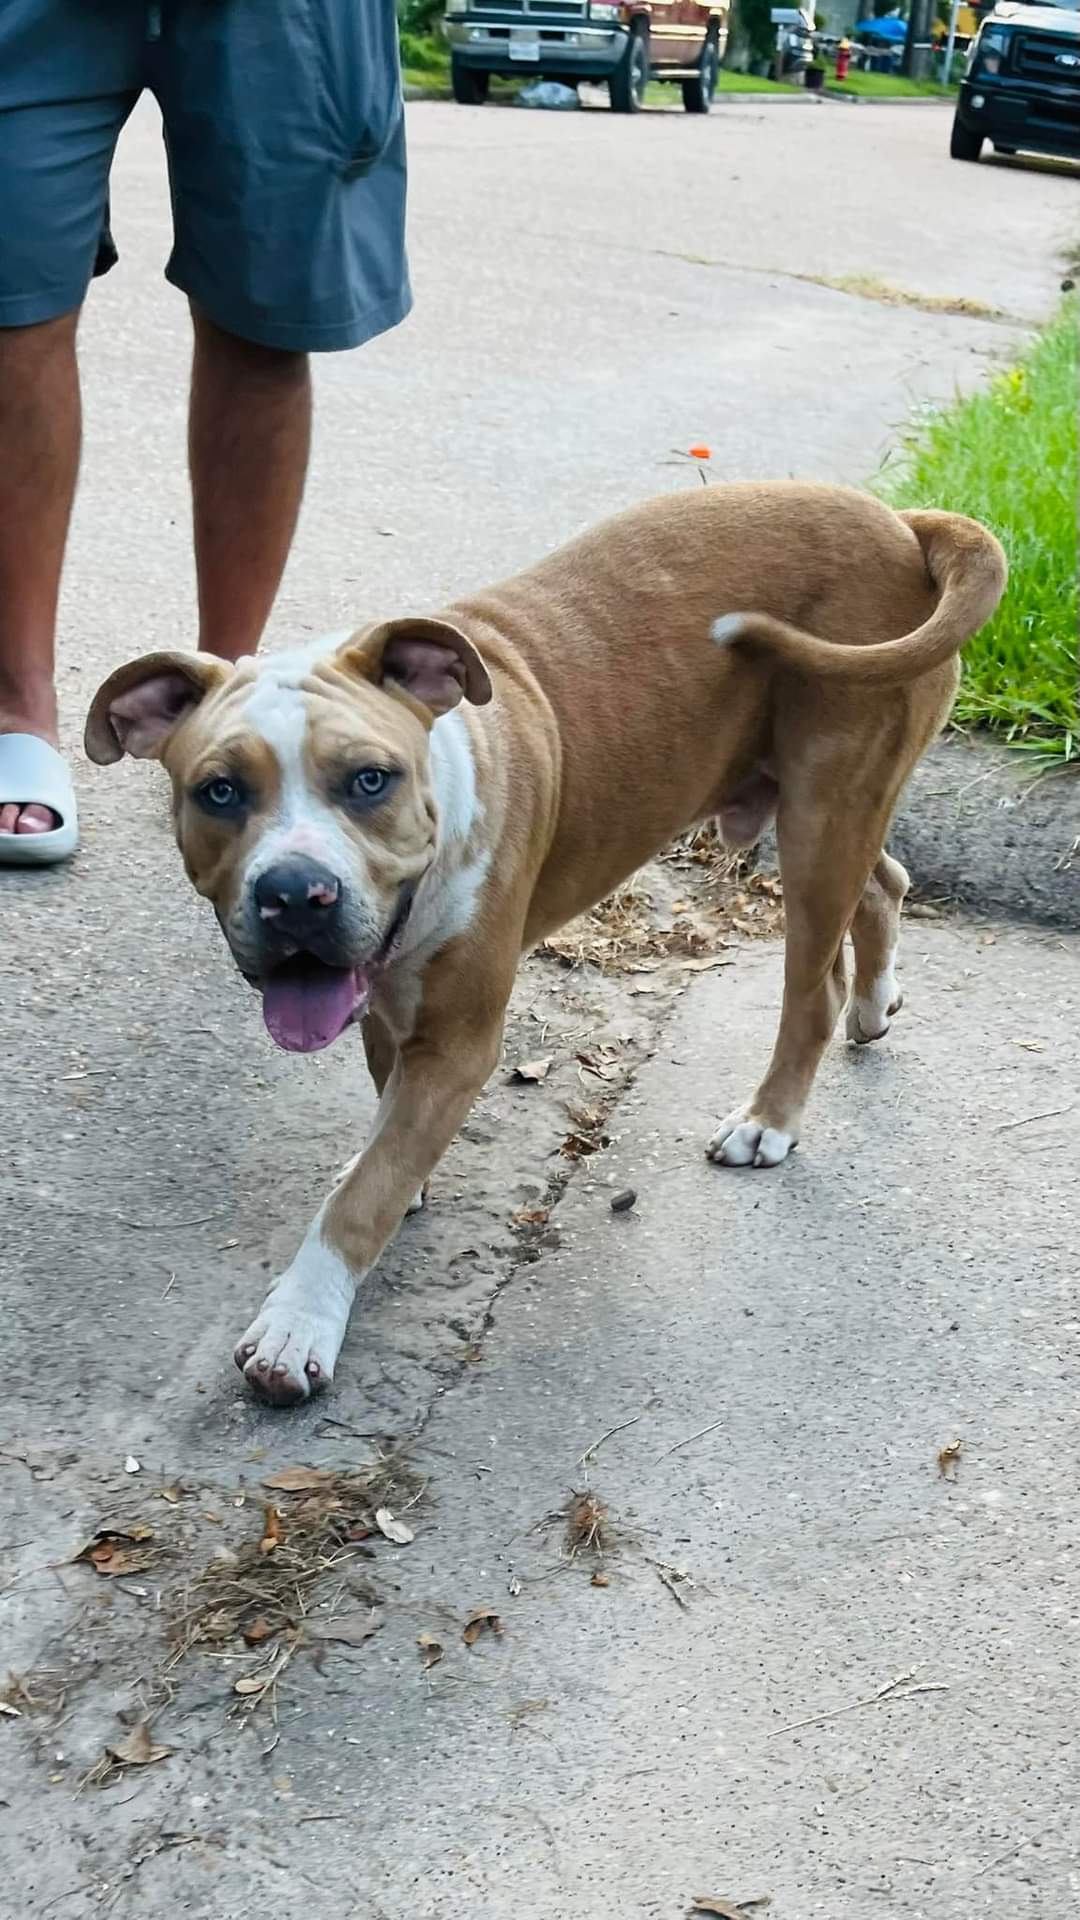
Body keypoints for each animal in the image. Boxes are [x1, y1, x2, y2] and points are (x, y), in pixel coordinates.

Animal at [85, 483, 999, 1413]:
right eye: (218, 791)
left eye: (370, 780)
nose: (296, 895)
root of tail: (899, 522)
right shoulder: (386, 1002)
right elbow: (384, 1126)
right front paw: (395, 1176)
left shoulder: (459, 1042)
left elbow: (362, 1195)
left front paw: (299, 1322)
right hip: (834, 812)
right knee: (883, 883)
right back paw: (874, 1003)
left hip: (823, 813)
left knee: (811, 990)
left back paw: (767, 1120)